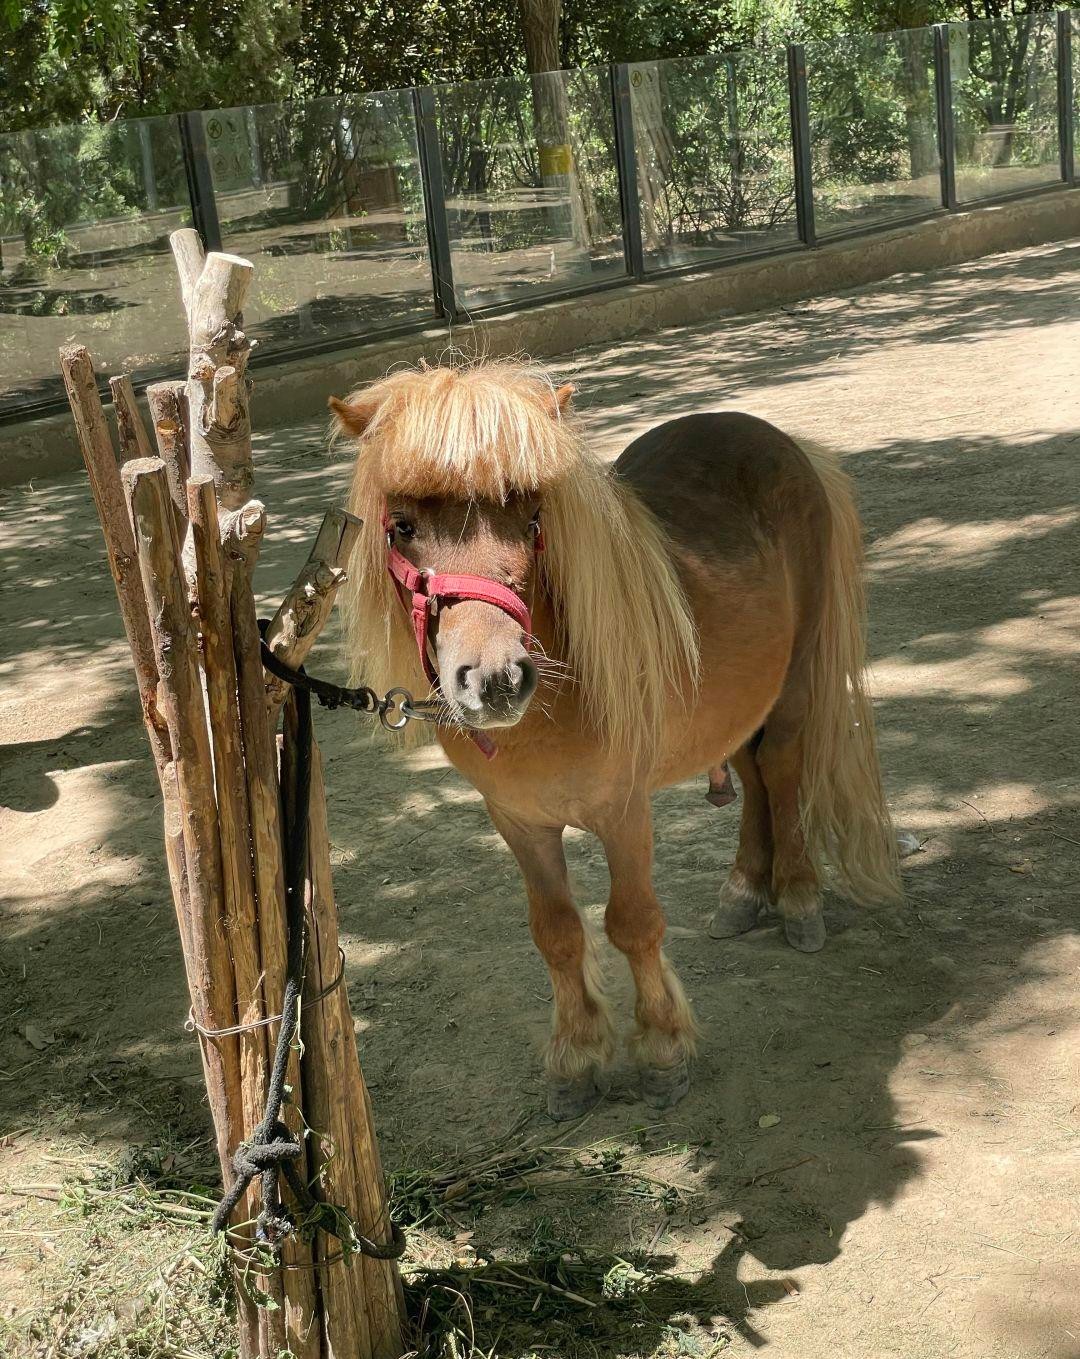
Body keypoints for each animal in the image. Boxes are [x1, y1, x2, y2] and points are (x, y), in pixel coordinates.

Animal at [330, 358, 900, 1120]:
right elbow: (557, 933)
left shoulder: (624, 812)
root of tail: (784, 443)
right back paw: (744, 892)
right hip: (738, 700)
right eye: (401, 526)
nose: (496, 679)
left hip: (796, 682)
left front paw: (662, 1053)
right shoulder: (519, 822)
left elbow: (632, 923)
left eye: (533, 518)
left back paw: (800, 898)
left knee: (780, 770)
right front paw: (575, 1062)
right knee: (752, 778)